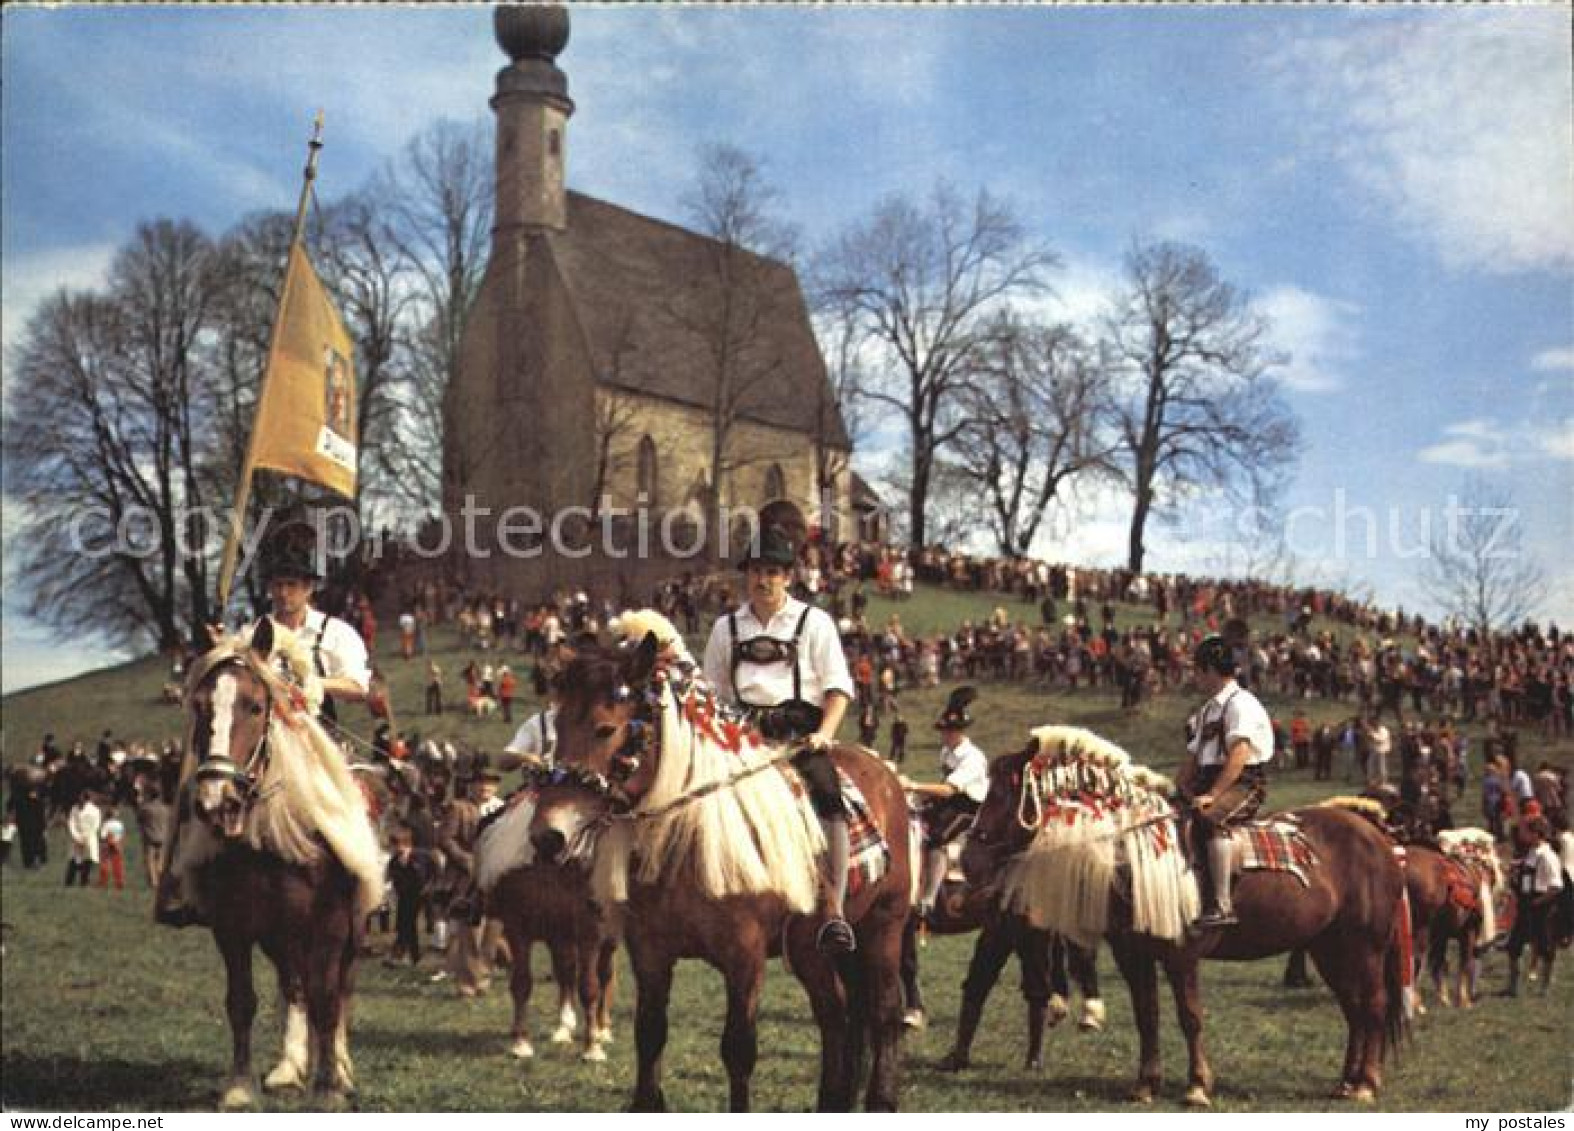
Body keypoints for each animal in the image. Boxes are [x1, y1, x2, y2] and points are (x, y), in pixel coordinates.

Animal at [152, 619, 384, 1107]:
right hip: (282, 936)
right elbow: (243, 1001)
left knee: (339, 990)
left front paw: (329, 1087)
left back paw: (338, 1066)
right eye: (199, 707)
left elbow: (327, 1000)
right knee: (293, 988)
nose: (216, 800)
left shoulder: (331, 923)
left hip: (350, 931)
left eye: (256, 706)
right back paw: (289, 1066)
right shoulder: (232, 925)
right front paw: (241, 1086)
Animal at [525, 610, 912, 1113]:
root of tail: (887, 775)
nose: (548, 835)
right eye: (557, 726)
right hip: (815, 949)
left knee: (882, 1012)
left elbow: (738, 1049)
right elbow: (649, 1035)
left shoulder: (744, 958)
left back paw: (880, 1099)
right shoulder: (650, 953)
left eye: (606, 728)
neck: (689, 841)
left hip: (883, 927)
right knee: (838, 1015)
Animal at [963, 726, 1410, 1107]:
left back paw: (1366, 1083)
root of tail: (1378, 837)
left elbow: (1190, 1017)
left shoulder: (1181, 956)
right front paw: (1146, 1084)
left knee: (1373, 1004)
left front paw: (1197, 1086)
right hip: (1329, 948)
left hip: (1366, 946)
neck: (1136, 848)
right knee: (1353, 1008)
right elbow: (1147, 1015)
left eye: (1001, 793)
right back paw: (1346, 1082)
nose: (970, 860)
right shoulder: (1134, 955)